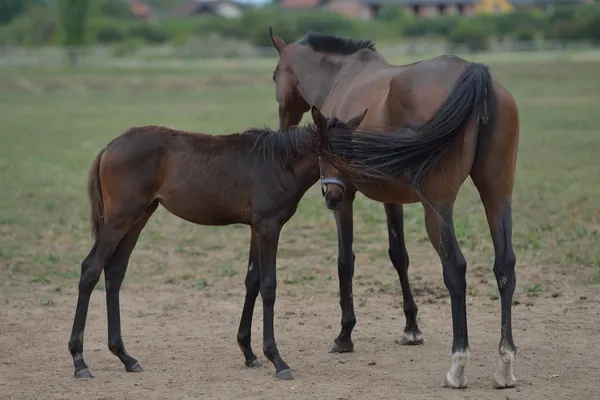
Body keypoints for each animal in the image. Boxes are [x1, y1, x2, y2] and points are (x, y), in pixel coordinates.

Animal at [270, 28, 520, 390]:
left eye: (275, 75)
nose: (283, 125)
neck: (342, 77)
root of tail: (474, 74)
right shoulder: (393, 199)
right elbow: (399, 256)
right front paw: (411, 329)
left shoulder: (344, 195)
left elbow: (345, 261)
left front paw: (345, 334)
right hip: (497, 198)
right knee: (505, 267)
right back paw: (505, 364)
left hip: (438, 208)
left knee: (455, 268)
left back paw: (457, 365)